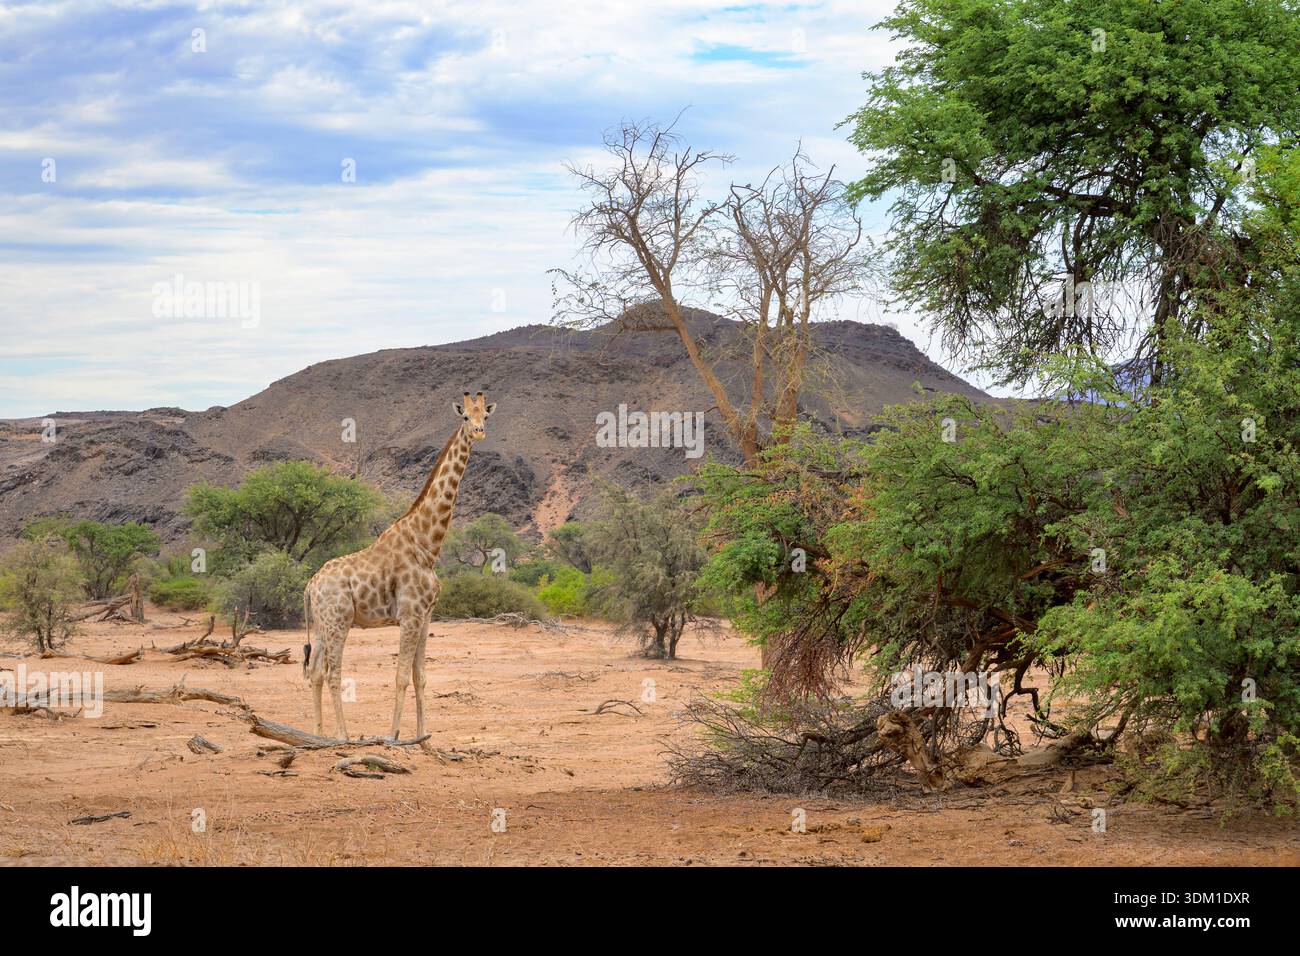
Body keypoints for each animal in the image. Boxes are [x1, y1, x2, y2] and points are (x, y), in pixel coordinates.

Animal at [303, 391, 495, 743]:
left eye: (485, 416)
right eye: (465, 417)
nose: (478, 432)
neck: (427, 544)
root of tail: (311, 584)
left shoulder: (427, 615)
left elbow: (421, 676)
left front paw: (423, 733)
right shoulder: (409, 615)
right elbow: (401, 676)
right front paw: (393, 735)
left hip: (323, 626)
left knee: (314, 672)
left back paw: (318, 735)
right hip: (339, 622)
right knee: (332, 673)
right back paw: (342, 736)